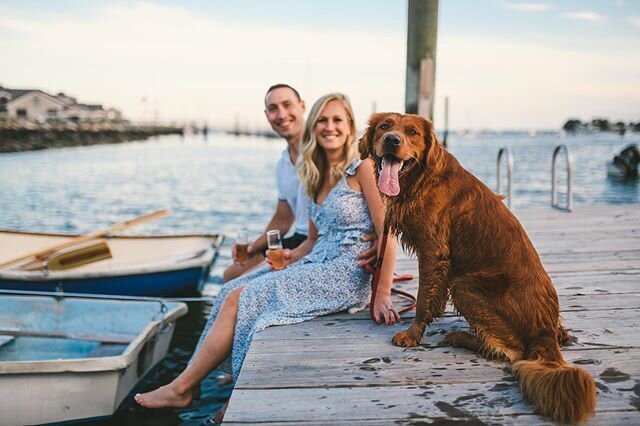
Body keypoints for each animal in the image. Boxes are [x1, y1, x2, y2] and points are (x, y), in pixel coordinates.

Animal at [360, 112, 596, 422]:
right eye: (385, 126)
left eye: (412, 132)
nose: (391, 140)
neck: (422, 179)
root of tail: (544, 329)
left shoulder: (433, 251)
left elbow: (423, 299)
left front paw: (412, 335)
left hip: (464, 285)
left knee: (512, 351)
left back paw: (461, 336)